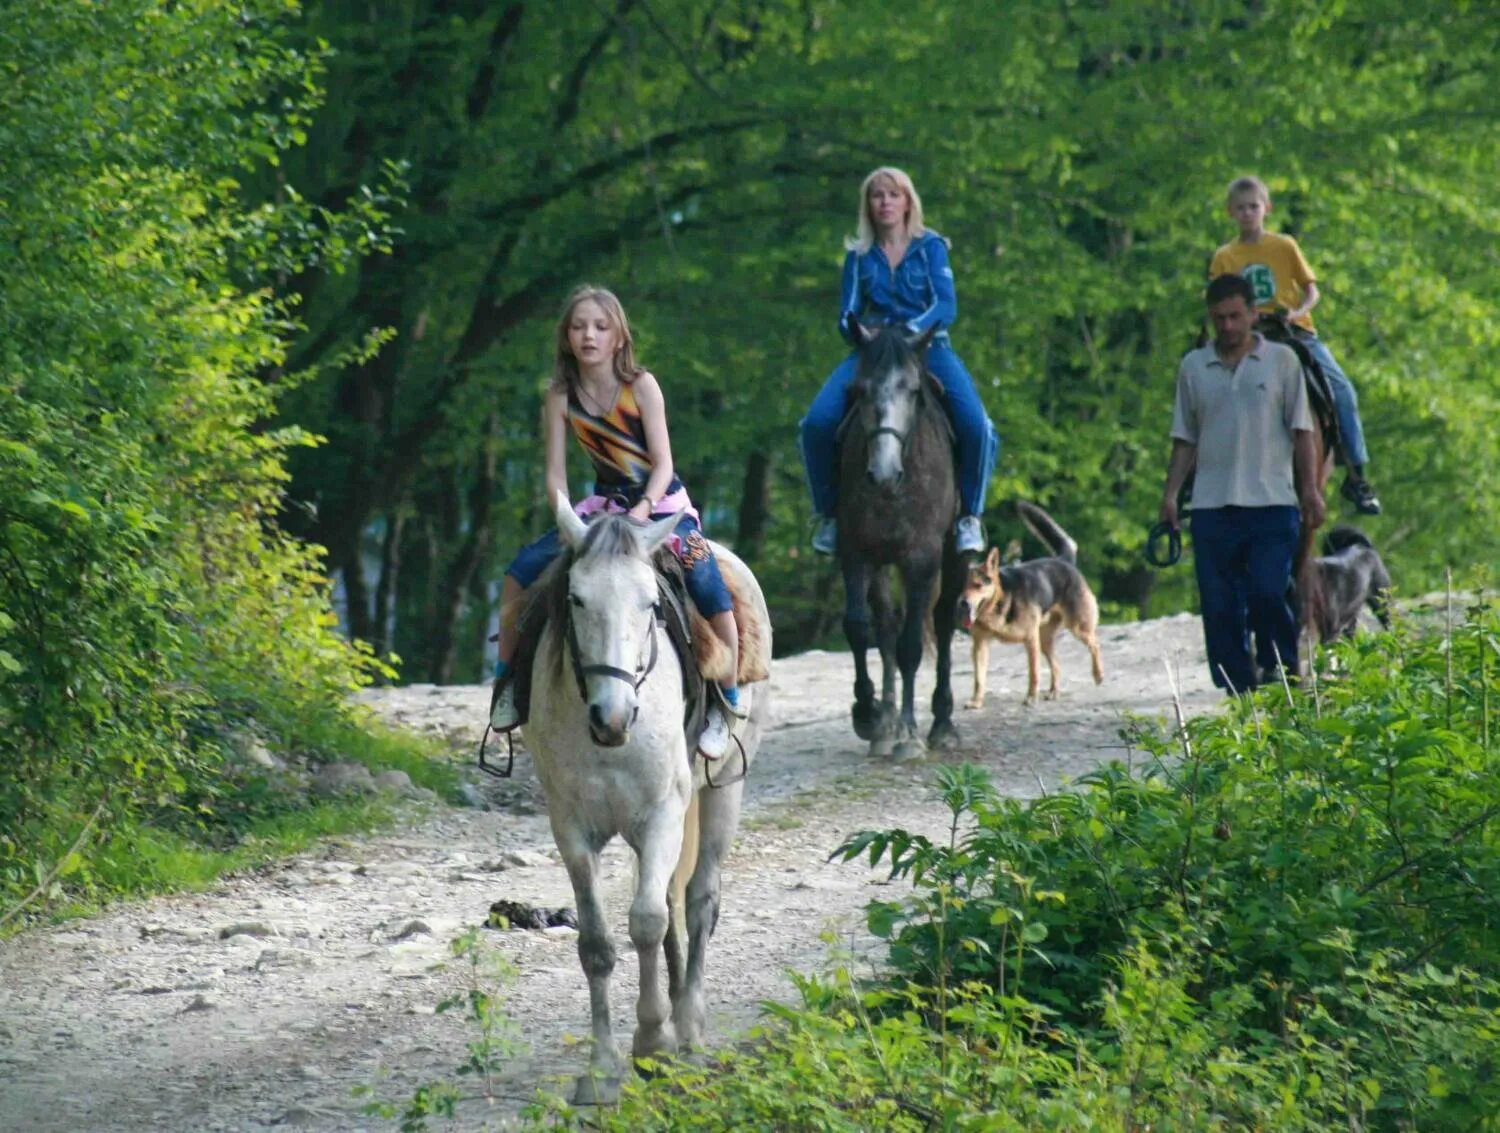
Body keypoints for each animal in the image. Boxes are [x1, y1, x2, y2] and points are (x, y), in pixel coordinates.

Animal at [525, 492, 768, 1104]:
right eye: (576, 599)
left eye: (651, 603)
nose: (610, 718)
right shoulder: (571, 830)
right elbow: (597, 944)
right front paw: (601, 1070)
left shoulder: (661, 817)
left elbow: (647, 923)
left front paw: (654, 1042)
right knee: (674, 906)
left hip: (723, 792)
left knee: (697, 901)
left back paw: (690, 1029)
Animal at [840, 324, 966, 756]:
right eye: (859, 389)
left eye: (913, 391)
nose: (882, 473)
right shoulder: (857, 552)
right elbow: (859, 628)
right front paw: (870, 714)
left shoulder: (922, 560)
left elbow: (912, 644)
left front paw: (910, 735)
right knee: (886, 625)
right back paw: (887, 723)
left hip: (954, 553)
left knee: (943, 619)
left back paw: (942, 722)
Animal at [954, 501, 1110, 705]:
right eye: (960, 586)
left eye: (978, 585)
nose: (963, 603)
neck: (1000, 601)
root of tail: (1063, 560)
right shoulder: (980, 645)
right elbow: (979, 678)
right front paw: (976, 702)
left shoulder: (1030, 640)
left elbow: (1033, 673)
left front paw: (1030, 697)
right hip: (1045, 641)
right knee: (1057, 664)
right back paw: (1054, 691)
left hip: (1077, 628)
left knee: (1095, 645)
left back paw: (1098, 674)